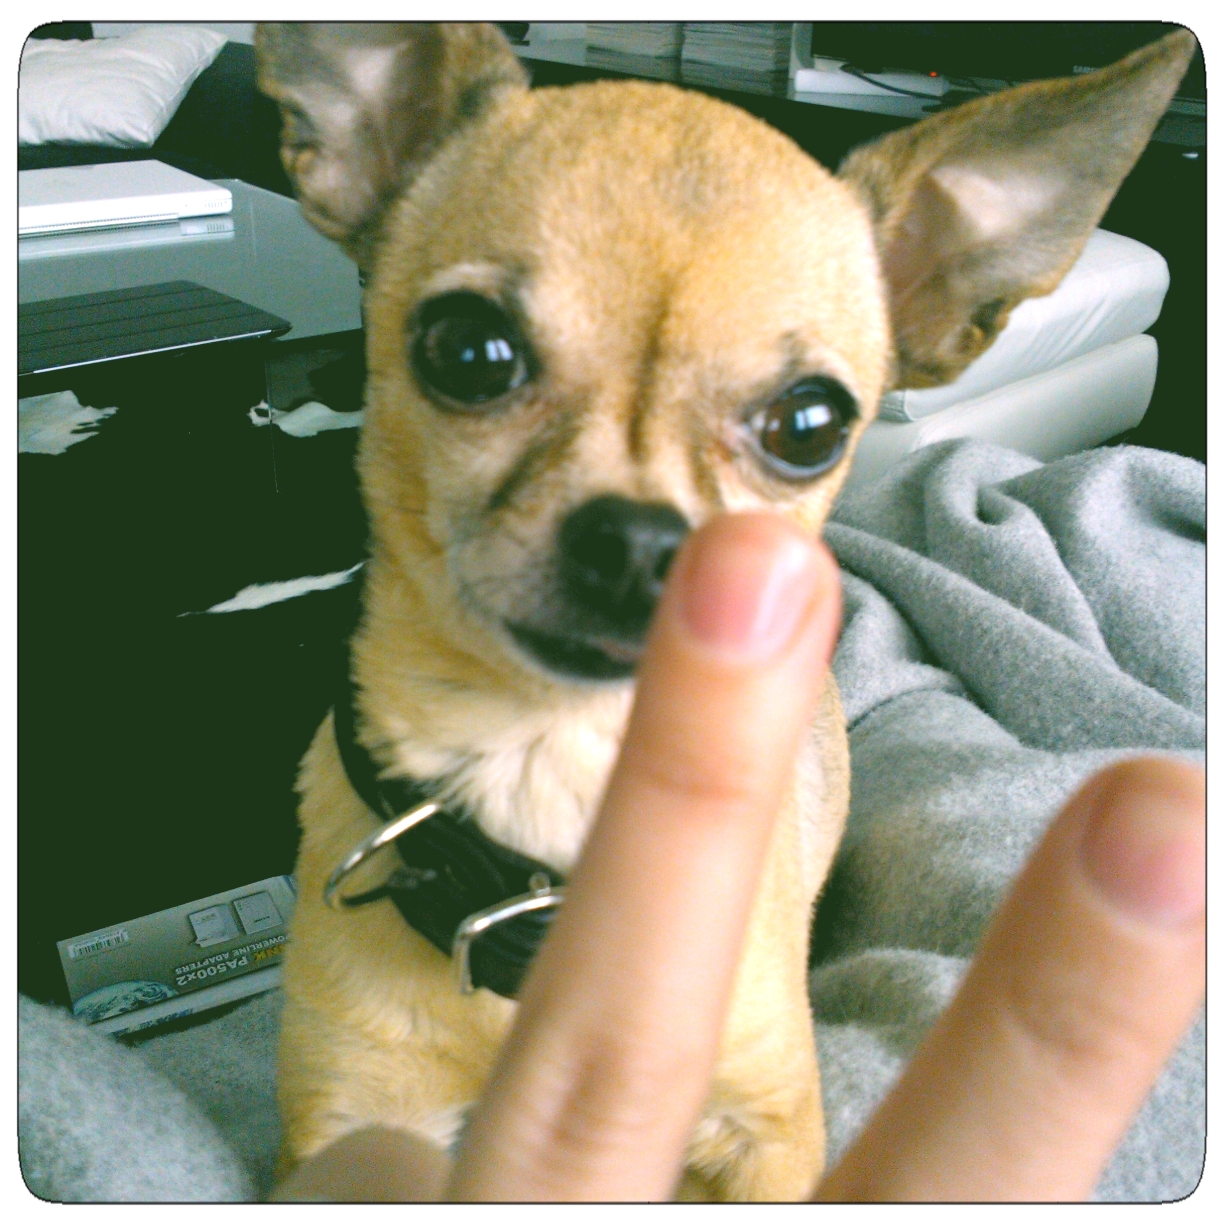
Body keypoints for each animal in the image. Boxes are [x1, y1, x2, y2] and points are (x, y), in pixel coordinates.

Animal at [255, 23, 1195, 1200]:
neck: (548, 764)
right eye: (466, 351)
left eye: (811, 425)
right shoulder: (341, 1130)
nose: (642, 541)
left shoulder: (770, 1137)